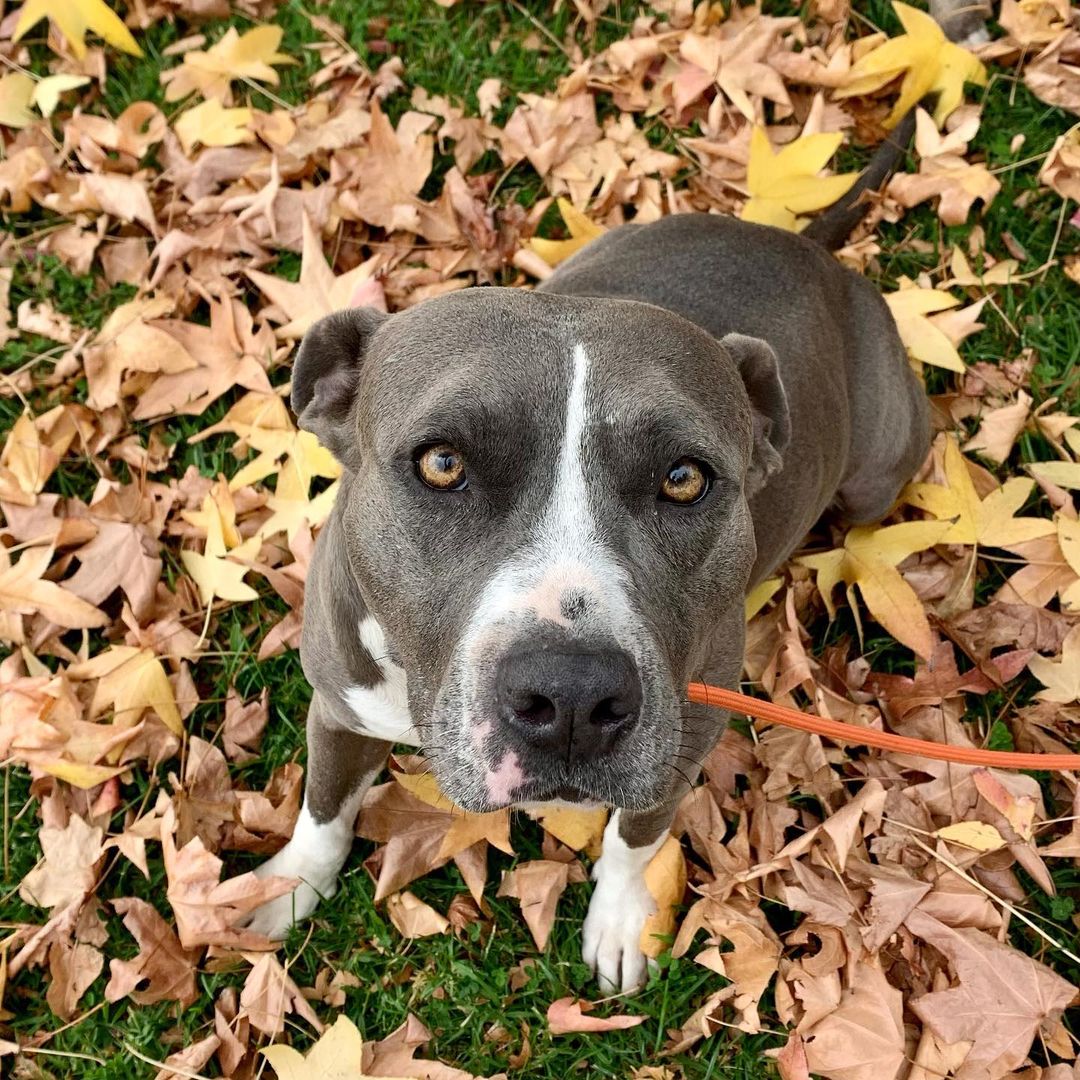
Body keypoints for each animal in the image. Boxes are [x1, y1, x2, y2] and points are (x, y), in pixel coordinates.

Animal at [245, 130, 928, 989]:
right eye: (441, 463)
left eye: (684, 477)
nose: (572, 696)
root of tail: (808, 249)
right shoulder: (339, 707)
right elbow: (325, 807)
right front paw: (287, 886)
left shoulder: (686, 736)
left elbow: (638, 834)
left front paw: (622, 919)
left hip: (873, 477)